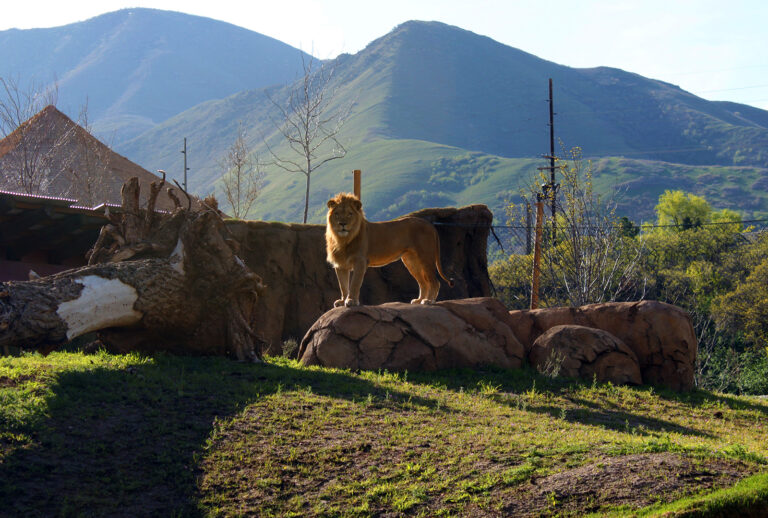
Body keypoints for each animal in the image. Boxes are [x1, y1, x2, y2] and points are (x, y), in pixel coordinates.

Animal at [325, 192, 454, 307]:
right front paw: (342, 301)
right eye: (337, 214)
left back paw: (429, 301)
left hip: (425, 257)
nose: (342, 224)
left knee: (434, 282)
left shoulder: (360, 262)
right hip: (411, 261)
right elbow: (343, 285)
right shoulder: (340, 264)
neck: (343, 239)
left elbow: (354, 284)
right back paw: (419, 300)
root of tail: (430, 225)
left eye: (350, 214)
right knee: (423, 282)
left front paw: (351, 301)